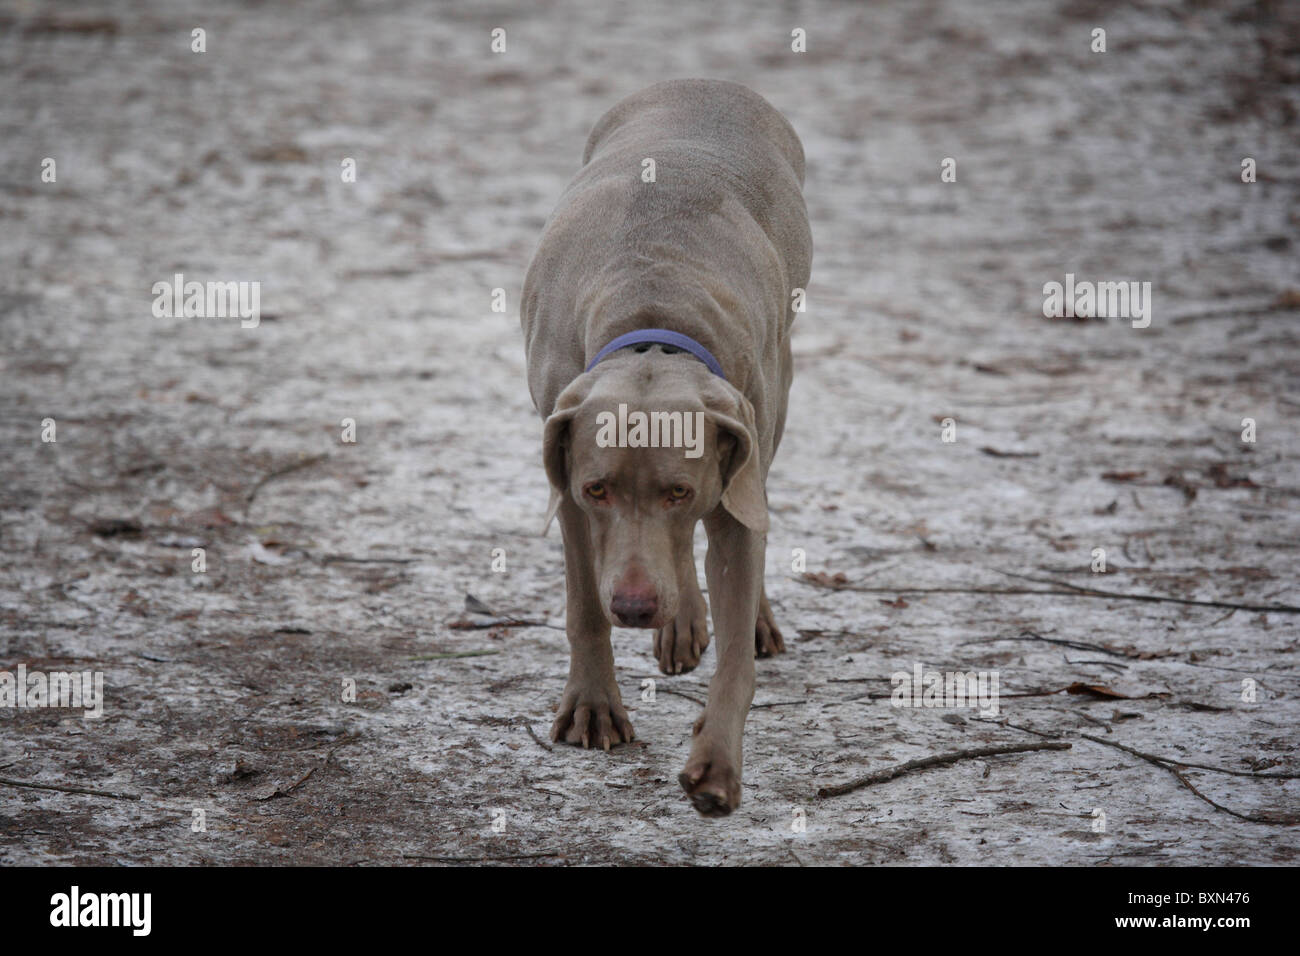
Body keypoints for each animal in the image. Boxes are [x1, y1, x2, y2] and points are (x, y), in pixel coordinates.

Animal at [520, 78, 811, 816]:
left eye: (679, 490)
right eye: (597, 488)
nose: (634, 607)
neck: (654, 309)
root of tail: (706, 82)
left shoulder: (730, 477)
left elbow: (735, 644)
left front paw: (716, 764)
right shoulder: (569, 487)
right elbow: (583, 603)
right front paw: (593, 708)